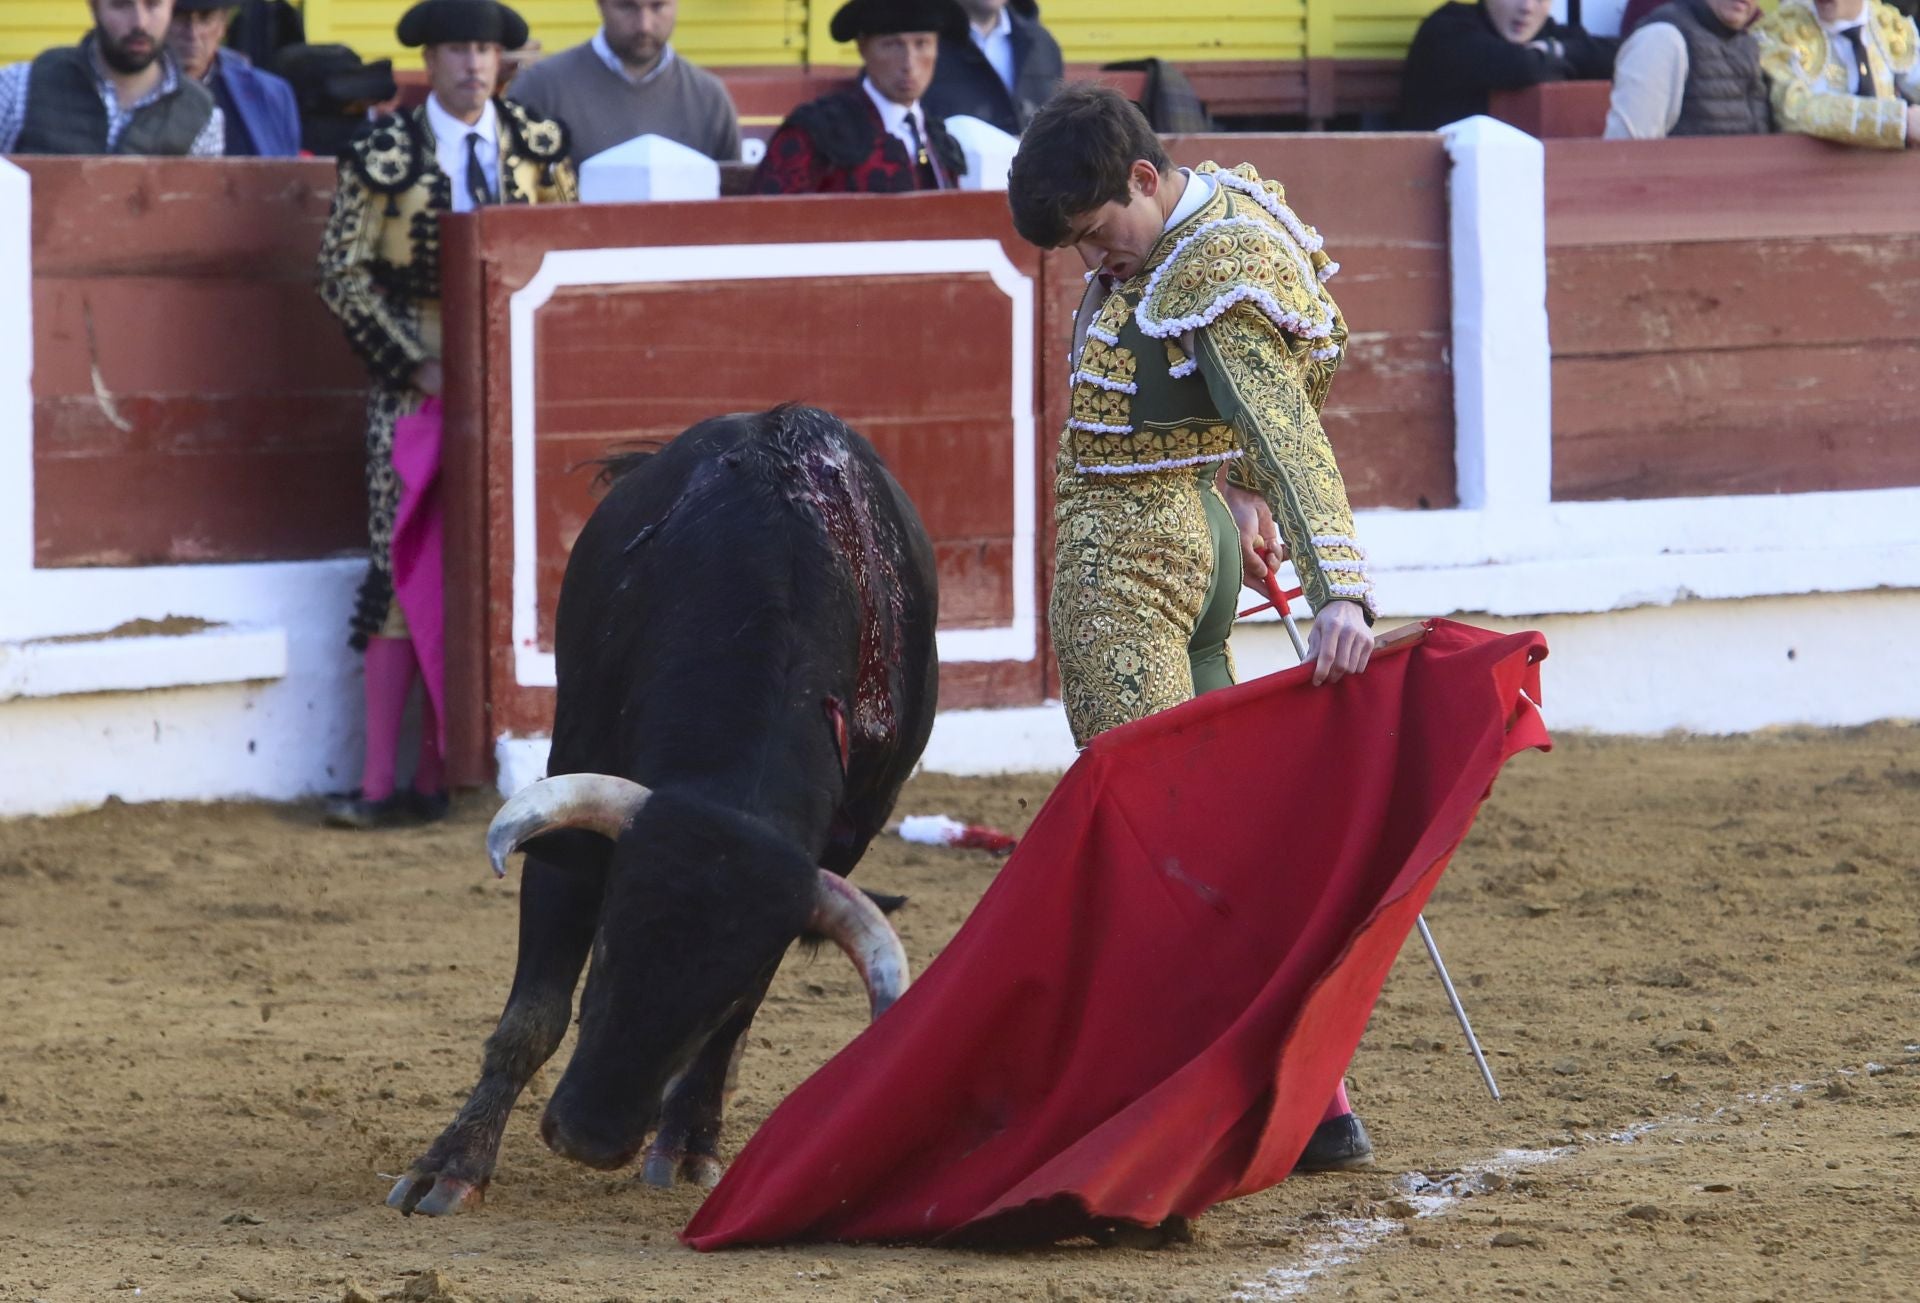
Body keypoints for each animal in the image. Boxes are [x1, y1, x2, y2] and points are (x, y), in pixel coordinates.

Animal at [384, 404, 936, 1212]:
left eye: (716, 995)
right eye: (611, 945)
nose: (590, 1135)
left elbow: (741, 1019)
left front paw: (688, 1141)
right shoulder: (571, 836)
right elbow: (533, 1015)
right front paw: (451, 1164)